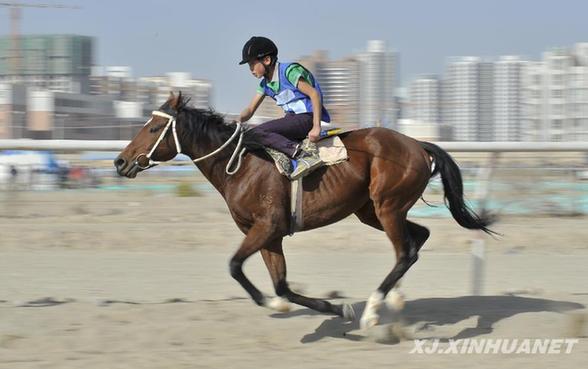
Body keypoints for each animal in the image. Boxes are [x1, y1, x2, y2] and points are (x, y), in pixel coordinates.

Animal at [113, 92, 492, 328]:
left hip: (387, 206)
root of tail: (417, 144)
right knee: (417, 239)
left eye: (153, 127)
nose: (120, 162)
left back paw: (373, 310)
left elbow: (235, 266)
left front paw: (282, 305)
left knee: (405, 251)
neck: (241, 164)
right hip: (372, 211)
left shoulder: (266, 227)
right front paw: (332, 307)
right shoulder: (269, 236)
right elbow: (281, 285)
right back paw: (394, 298)